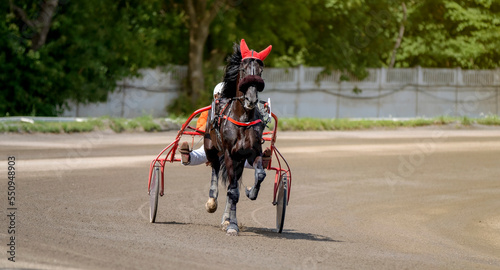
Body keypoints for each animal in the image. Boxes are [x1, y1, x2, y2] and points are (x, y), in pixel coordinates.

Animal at [204, 39, 274, 235]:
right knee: (214, 168)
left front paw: (251, 192)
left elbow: (260, 174)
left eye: (260, 71)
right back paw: (212, 202)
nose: (251, 100)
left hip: (239, 161)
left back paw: (226, 218)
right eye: (243, 69)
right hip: (211, 147)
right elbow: (233, 191)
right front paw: (233, 226)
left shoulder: (252, 152)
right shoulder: (229, 154)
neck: (243, 118)